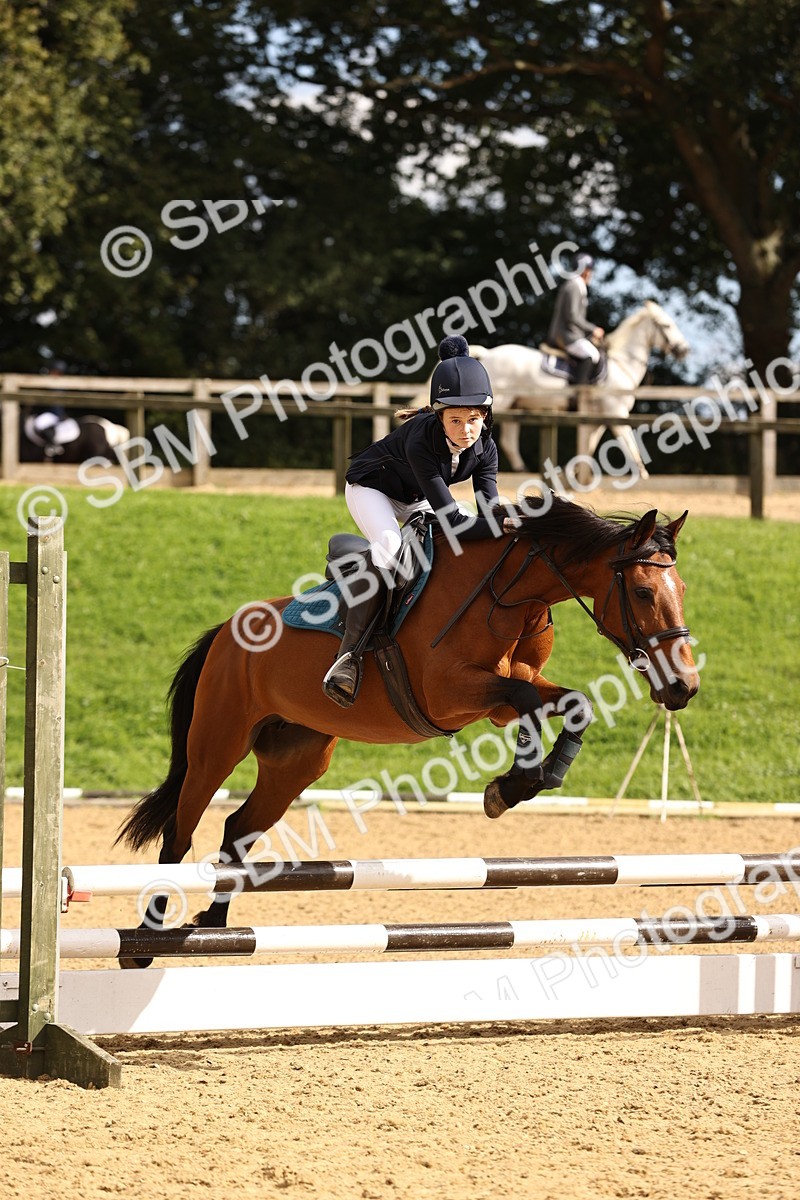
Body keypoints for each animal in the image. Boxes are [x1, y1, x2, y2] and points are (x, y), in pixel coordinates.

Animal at [116, 495, 698, 967]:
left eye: (682, 588)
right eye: (642, 592)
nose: (684, 688)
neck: (510, 594)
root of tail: (226, 631)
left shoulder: (503, 701)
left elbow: (571, 704)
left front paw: (530, 780)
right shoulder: (451, 694)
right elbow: (529, 701)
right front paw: (512, 786)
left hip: (297, 761)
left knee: (237, 828)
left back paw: (214, 925)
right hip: (217, 747)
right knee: (180, 832)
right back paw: (145, 942)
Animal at [470, 301, 690, 477]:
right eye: (667, 325)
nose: (684, 349)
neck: (621, 364)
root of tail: (488, 353)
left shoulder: (598, 419)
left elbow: (589, 445)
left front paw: (573, 473)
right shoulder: (616, 413)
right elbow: (629, 444)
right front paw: (642, 475)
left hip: (515, 407)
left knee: (509, 441)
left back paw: (521, 469)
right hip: (502, 405)